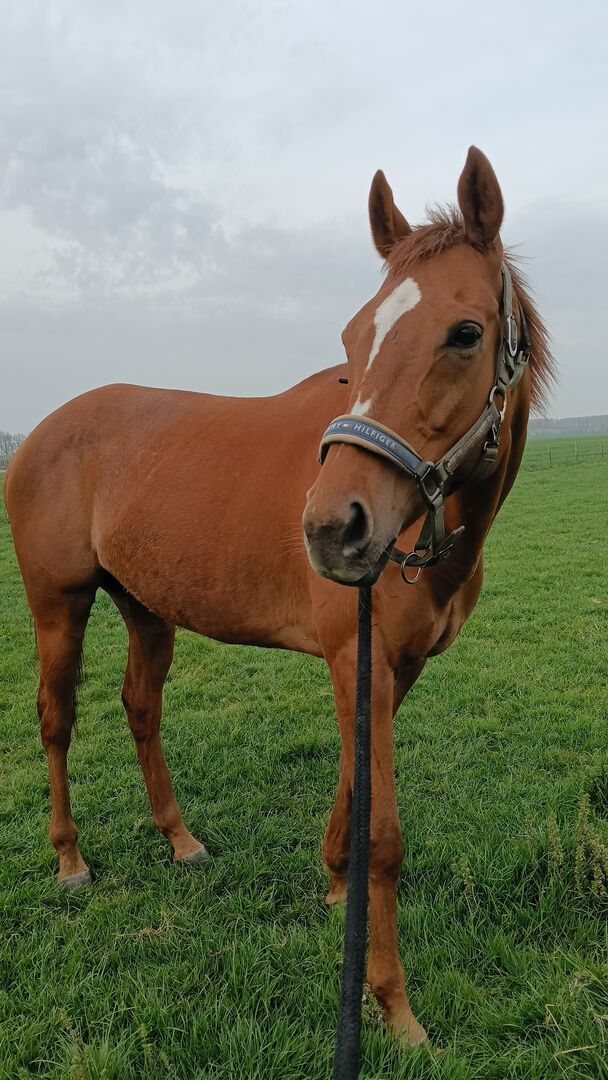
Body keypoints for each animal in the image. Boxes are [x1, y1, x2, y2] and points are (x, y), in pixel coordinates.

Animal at [3, 147, 552, 1047]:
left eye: (465, 333)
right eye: (353, 338)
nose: (333, 528)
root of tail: (42, 431)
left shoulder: (388, 669)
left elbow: (353, 789)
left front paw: (334, 888)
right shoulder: (355, 661)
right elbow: (385, 834)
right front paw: (393, 1008)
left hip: (145, 607)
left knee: (141, 707)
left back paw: (180, 839)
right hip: (60, 604)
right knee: (57, 720)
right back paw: (70, 858)